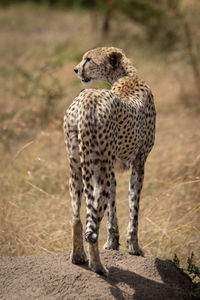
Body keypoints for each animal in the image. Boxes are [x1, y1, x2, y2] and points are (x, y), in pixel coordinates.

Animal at [63, 46, 156, 274]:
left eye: (88, 59)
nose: (76, 69)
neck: (125, 76)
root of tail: (87, 98)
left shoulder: (112, 167)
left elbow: (114, 208)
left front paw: (113, 242)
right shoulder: (139, 162)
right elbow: (134, 206)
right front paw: (134, 246)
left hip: (78, 169)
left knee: (76, 218)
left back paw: (78, 257)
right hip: (98, 172)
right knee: (91, 228)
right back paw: (98, 267)